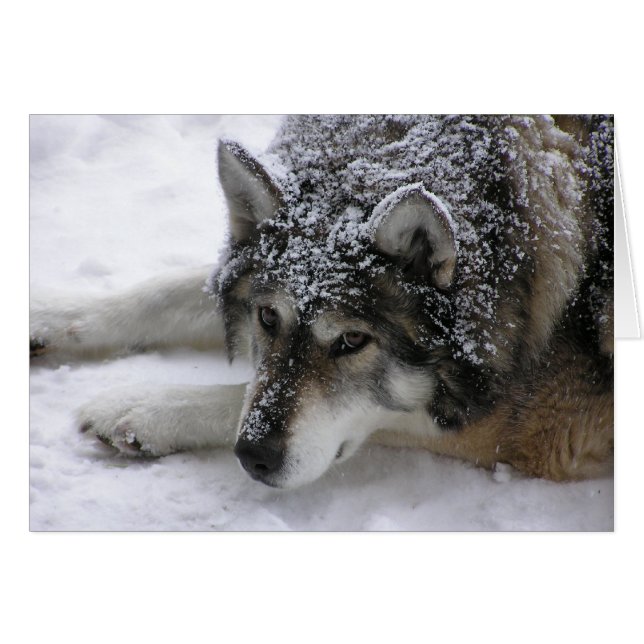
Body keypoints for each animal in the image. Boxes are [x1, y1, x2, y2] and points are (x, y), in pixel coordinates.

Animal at [30, 115, 614, 489]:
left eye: (353, 340)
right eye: (267, 317)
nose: (253, 459)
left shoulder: (547, 423)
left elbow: (241, 396)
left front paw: (143, 408)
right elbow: (169, 288)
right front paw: (49, 314)